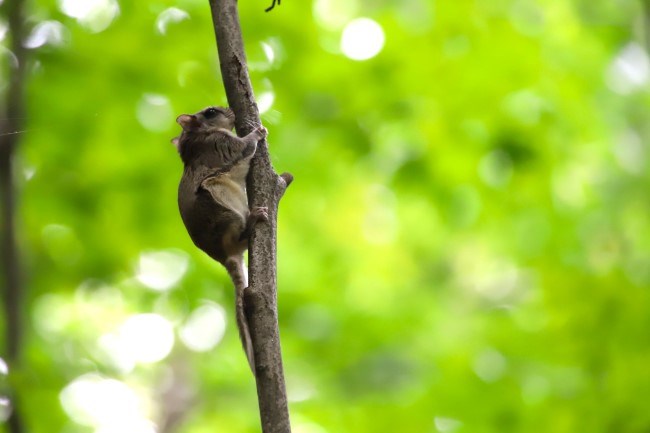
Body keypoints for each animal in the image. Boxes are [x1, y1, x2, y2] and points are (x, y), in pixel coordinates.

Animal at [172, 105, 268, 373]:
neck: (197, 137)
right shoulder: (220, 144)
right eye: (211, 112)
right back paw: (254, 220)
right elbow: (244, 147)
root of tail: (225, 256)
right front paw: (257, 131)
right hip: (219, 196)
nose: (232, 109)